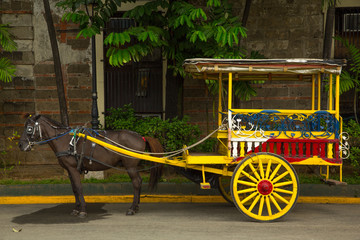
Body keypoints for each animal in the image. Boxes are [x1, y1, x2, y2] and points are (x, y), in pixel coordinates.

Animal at [18, 114, 162, 218]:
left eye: (29, 128)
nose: (20, 145)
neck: (65, 140)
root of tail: (141, 137)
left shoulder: (73, 169)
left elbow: (79, 188)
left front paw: (82, 210)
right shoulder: (69, 170)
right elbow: (74, 189)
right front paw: (76, 209)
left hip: (130, 166)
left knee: (136, 183)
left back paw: (132, 208)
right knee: (139, 181)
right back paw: (136, 207)